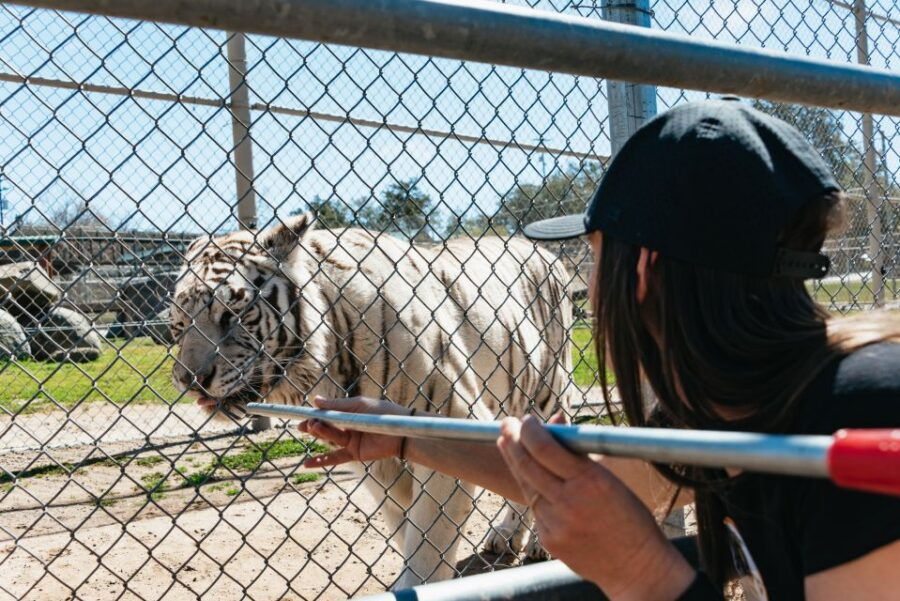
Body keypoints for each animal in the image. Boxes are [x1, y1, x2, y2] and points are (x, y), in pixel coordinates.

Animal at [169, 213, 574, 589]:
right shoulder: (376, 458)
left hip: (549, 393)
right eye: (178, 324)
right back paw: (507, 537)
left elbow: (427, 546)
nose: (190, 380)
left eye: (231, 314)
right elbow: (407, 530)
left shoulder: (451, 423)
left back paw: (540, 543)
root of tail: (542, 251)